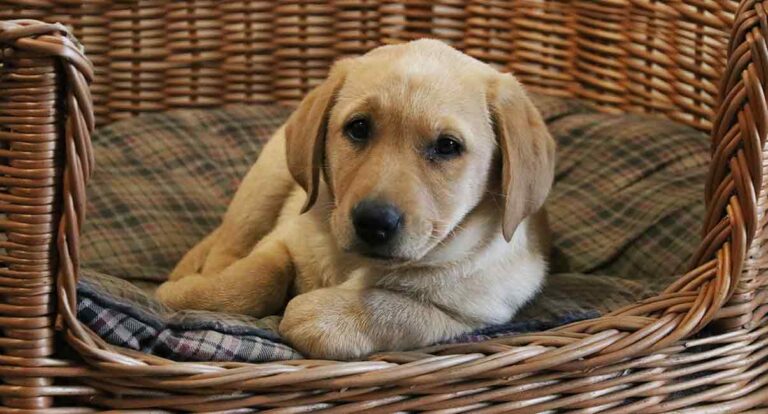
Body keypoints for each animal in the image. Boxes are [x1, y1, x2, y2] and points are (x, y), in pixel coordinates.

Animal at [154, 40, 552, 360]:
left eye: (447, 146)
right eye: (358, 128)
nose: (374, 222)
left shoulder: (474, 312)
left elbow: (399, 310)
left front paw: (319, 317)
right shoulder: (283, 238)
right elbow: (254, 277)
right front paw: (184, 296)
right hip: (265, 182)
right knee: (228, 246)